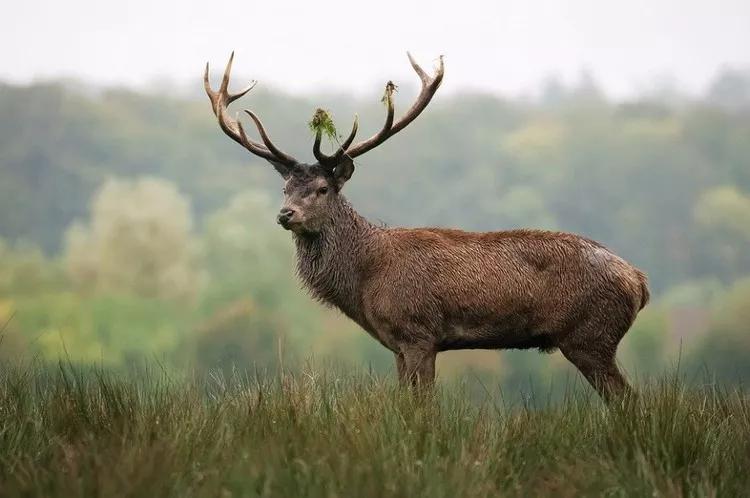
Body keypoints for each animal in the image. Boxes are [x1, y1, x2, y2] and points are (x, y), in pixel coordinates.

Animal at [206, 51, 652, 400]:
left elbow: (423, 408)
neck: (365, 278)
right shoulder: (397, 346)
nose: (286, 215)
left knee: (628, 400)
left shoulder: (418, 332)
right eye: (285, 188)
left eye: (321, 188)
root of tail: (639, 282)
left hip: (591, 336)